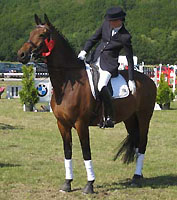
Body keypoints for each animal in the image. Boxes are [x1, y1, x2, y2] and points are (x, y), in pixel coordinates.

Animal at [17, 14, 156, 194]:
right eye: (31, 33)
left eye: (42, 34)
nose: (21, 54)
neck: (67, 84)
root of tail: (148, 80)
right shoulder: (62, 124)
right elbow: (67, 151)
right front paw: (67, 183)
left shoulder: (81, 124)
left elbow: (86, 151)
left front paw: (89, 185)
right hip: (130, 119)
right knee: (137, 141)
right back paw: (137, 176)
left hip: (144, 116)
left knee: (143, 143)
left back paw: (137, 177)